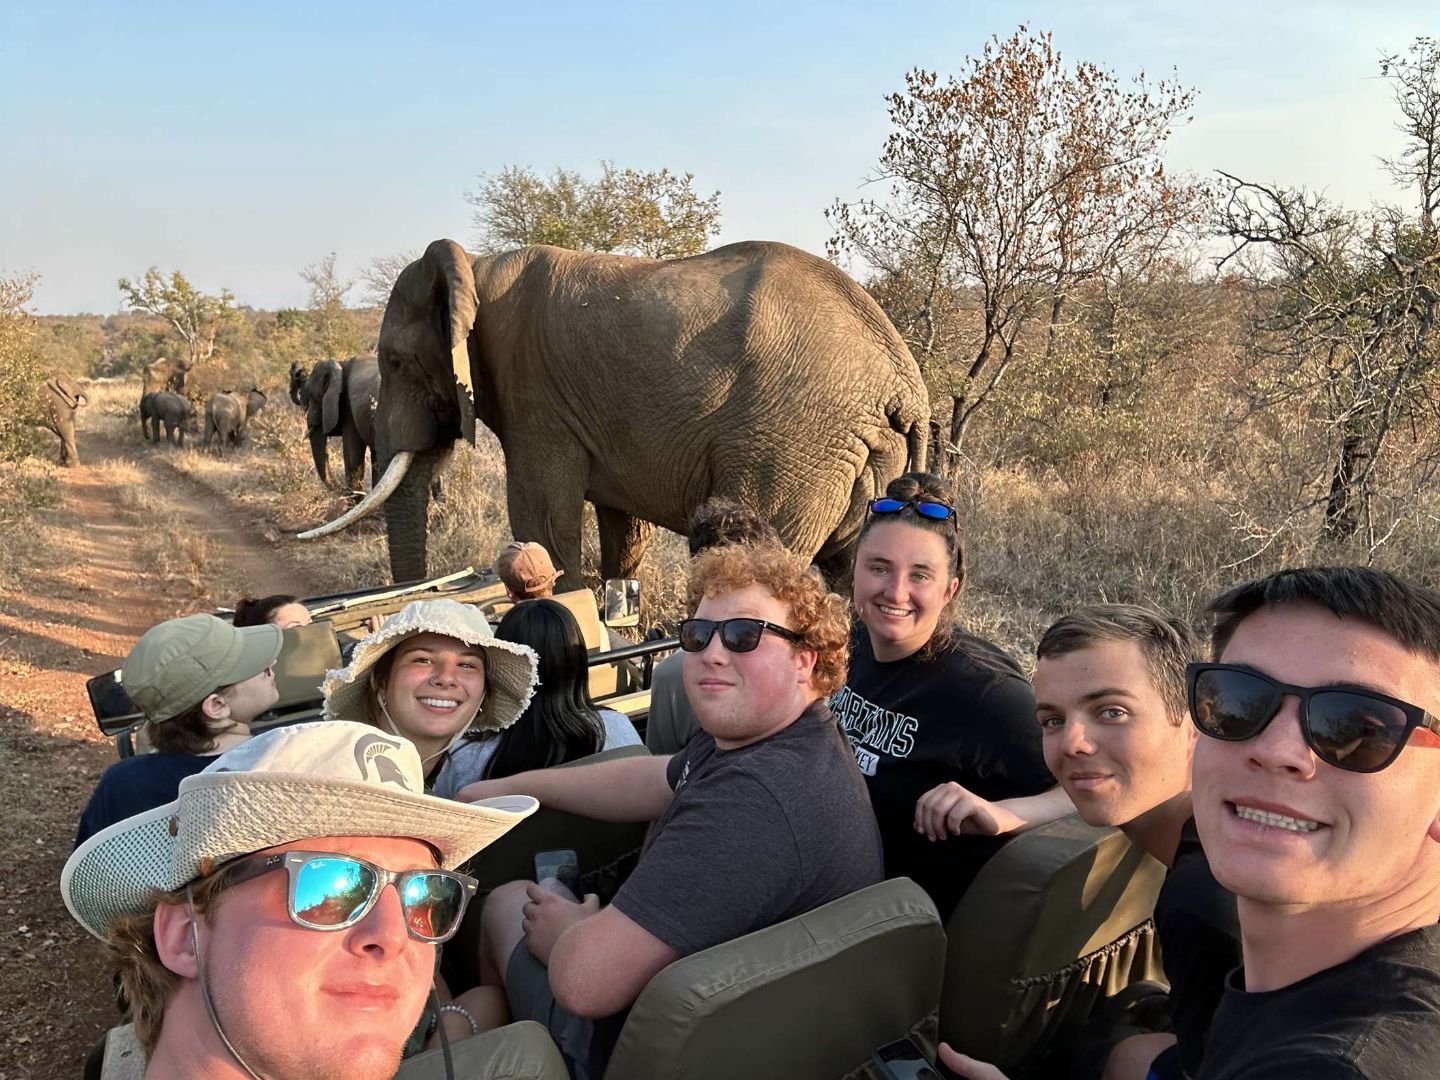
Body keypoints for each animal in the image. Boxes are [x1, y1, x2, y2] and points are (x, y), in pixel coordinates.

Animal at [306, 240, 933, 587]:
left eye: (395, 361)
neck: (475, 269)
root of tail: (906, 385)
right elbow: (621, 529)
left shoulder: (532, 392)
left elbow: (542, 520)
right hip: (855, 453)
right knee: (847, 574)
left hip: (792, 447)